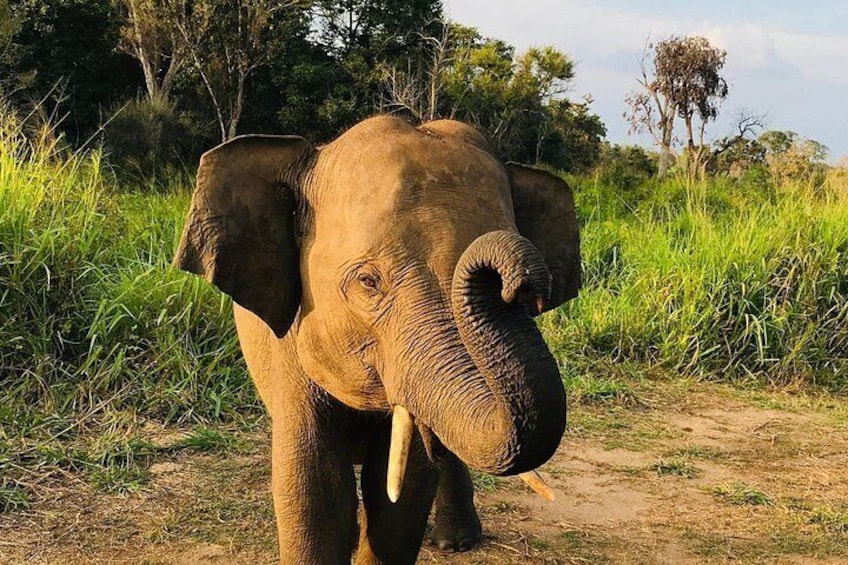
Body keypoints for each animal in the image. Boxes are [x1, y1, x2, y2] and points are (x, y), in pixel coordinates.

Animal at [174, 115, 581, 564]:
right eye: (368, 282)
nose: (522, 278)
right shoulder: (290, 349)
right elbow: (313, 491)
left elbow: (402, 496)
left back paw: (455, 542)